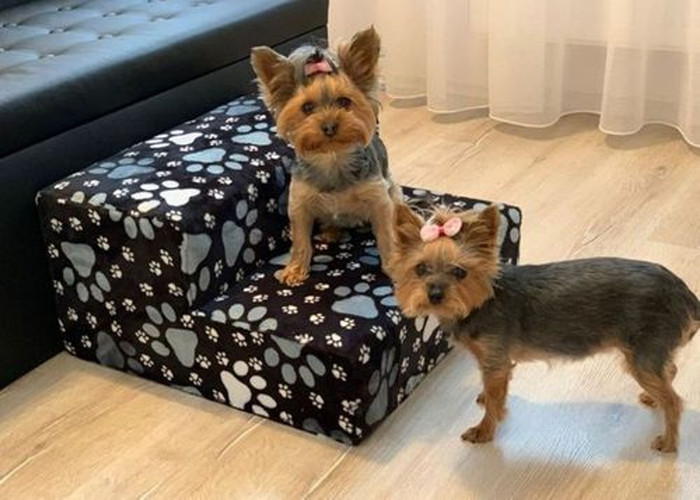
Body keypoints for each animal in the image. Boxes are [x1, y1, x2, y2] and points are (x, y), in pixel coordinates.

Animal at [250, 27, 400, 285]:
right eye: (307, 108)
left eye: (344, 101)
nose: (329, 126)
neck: (333, 158)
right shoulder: (299, 203)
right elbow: (300, 239)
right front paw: (295, 270)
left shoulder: (379, 199)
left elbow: (385, 235)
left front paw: (393, 266)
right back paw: (331, 232)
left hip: (394, 190)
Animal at [390, 203, 700, 452]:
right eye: (420, 269)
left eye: (459, 272)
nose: (434, 294)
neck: (480, 302)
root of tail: (683, 292)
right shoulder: (491, 360)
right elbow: (493, 391)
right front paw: (485, 398)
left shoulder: (495, 360)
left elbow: (494, 399)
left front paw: (484, 430)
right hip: (648, 353)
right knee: (670, 370)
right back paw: (653, 397)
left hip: (644, 350)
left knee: (674, 401)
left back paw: (668, 442)